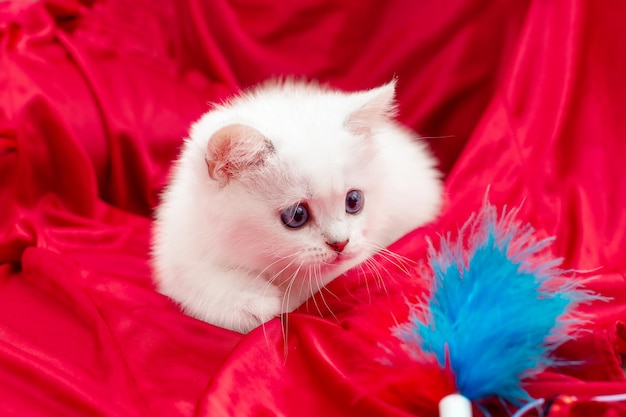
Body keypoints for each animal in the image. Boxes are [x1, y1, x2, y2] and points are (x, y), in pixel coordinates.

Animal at [152, 79, 442, 332]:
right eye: (296, 216)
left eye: (354, 201)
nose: (340, 243)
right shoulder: (176, 250)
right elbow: (195, 279)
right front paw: (252, 299)